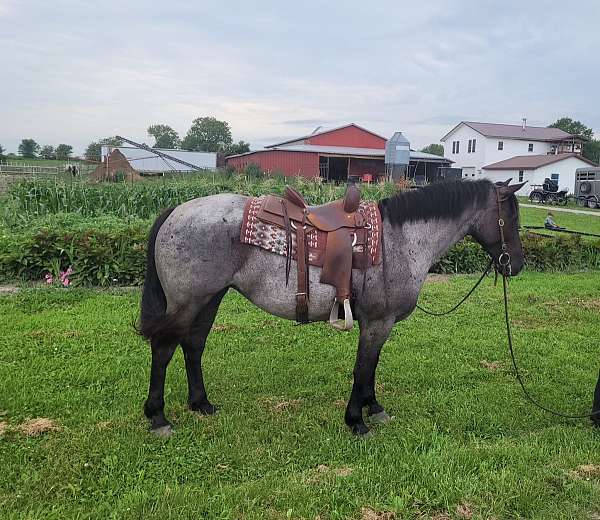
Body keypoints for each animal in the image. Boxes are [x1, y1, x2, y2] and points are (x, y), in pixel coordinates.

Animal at [139, 181, 524, 436]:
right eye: (512, 219)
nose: (516, 265)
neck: (400, 241)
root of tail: (175, 211)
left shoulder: (376, 324)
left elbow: (371, 368)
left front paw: (374, 408)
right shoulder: (378, 321)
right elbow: (362, 368)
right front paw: (357, 421)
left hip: (210, 298)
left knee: (193, 345)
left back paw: (201, 404)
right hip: (187, 302)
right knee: (163, 349)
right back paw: (158, 418)